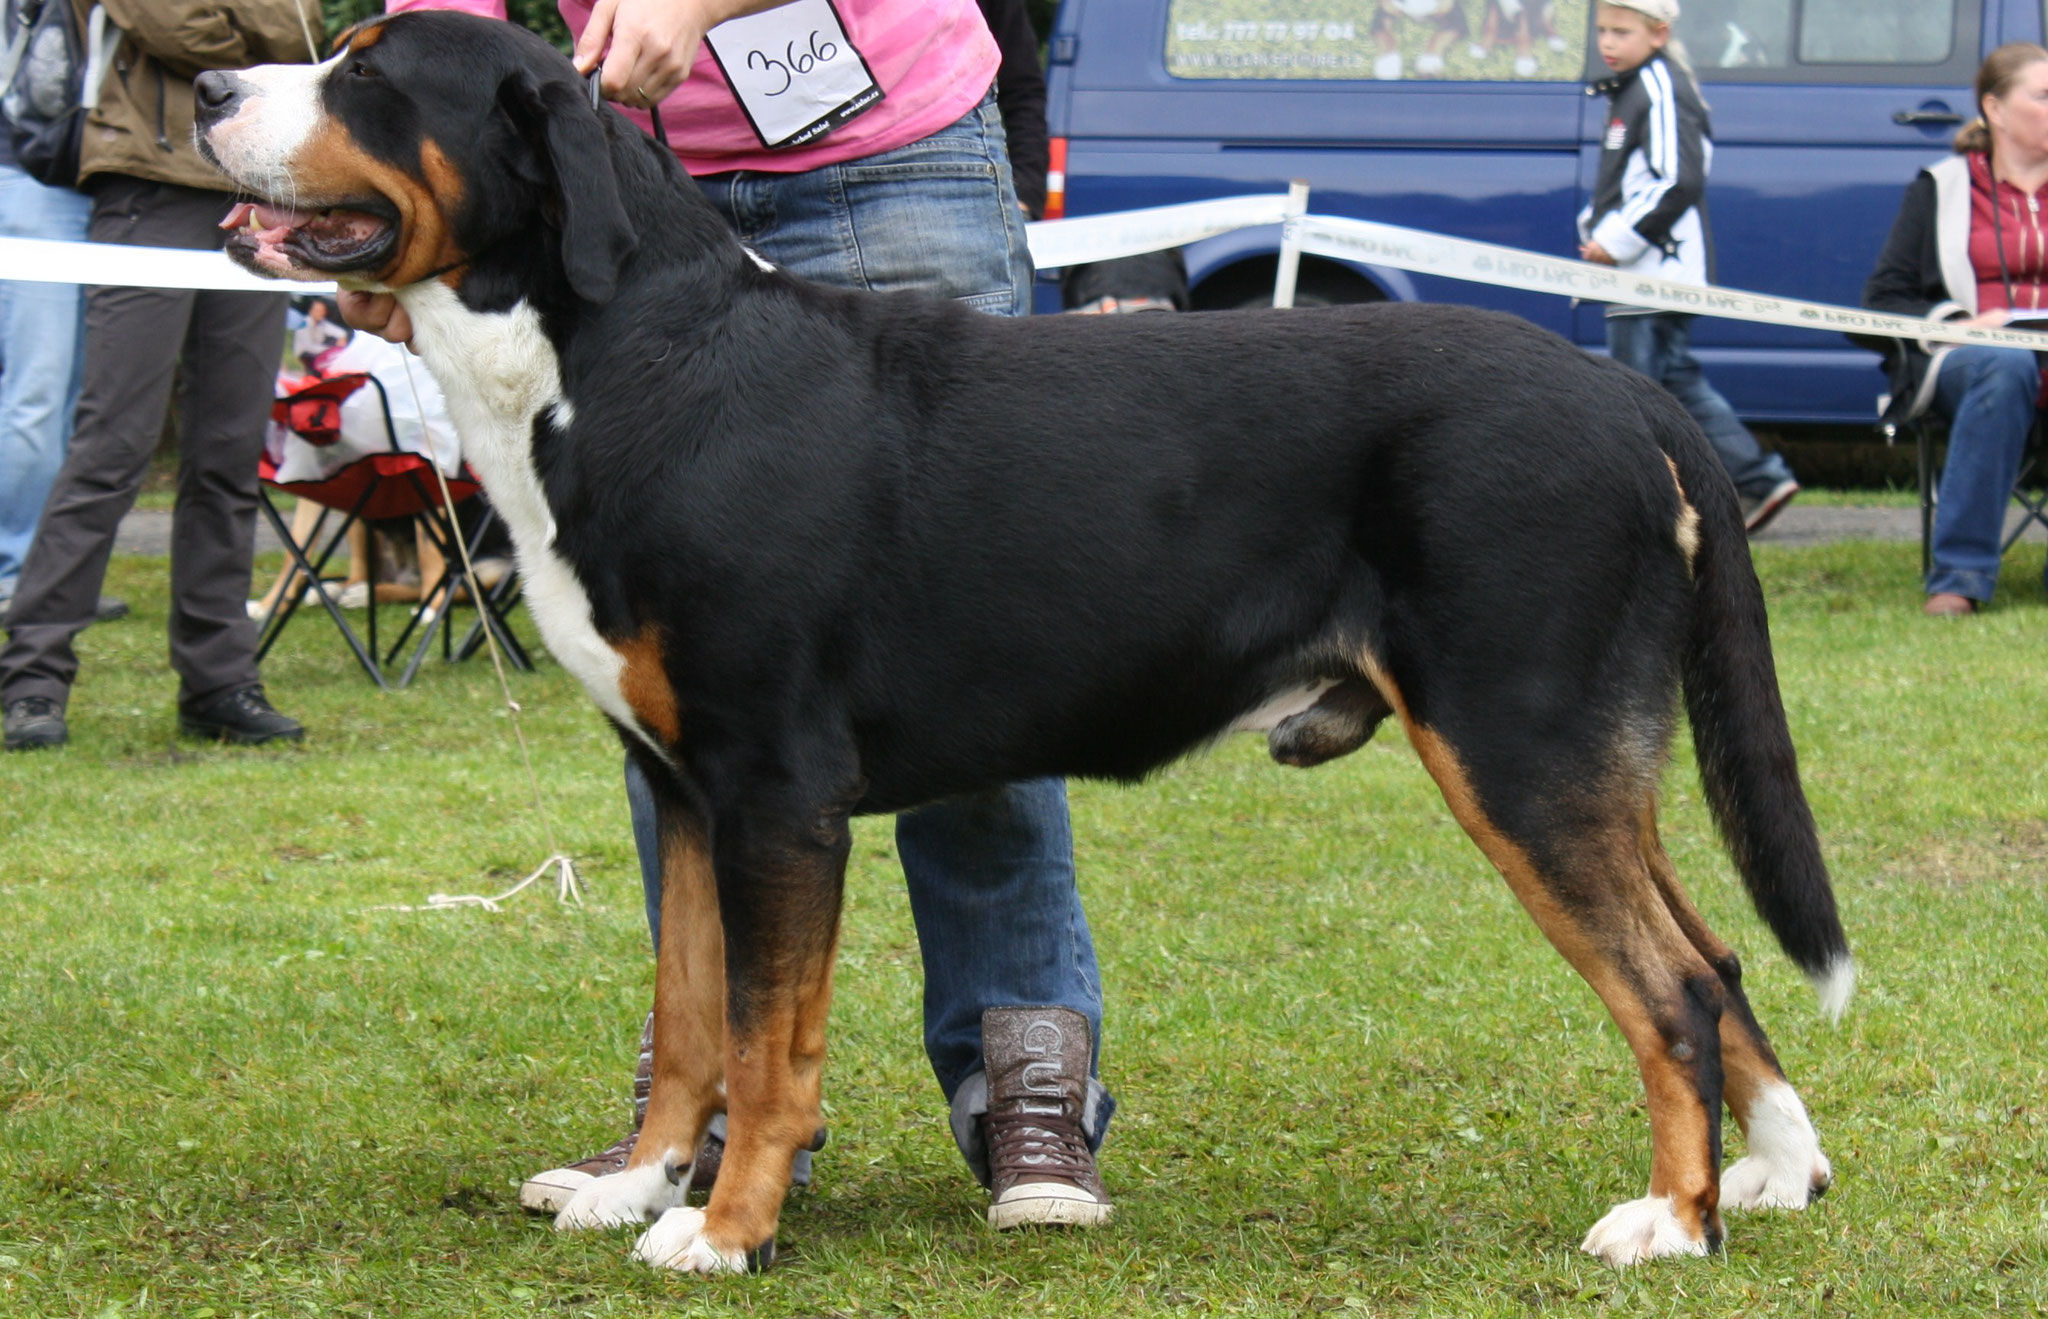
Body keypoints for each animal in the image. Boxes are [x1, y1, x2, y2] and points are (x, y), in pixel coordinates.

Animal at [195, 10, 1859, 1278]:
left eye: (368, 76)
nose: (212, 89)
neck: (620, 363)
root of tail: (1621, 391)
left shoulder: (776, 790)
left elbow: (770, 1043)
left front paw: (724, 1229)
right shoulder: (683, 787)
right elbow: (689, 1015)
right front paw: (641, 1179)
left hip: (1518, 742)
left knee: (1673, 984)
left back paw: (1674, 1220)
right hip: (1571, 757)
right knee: (1715, 953)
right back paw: (1775, 1169)